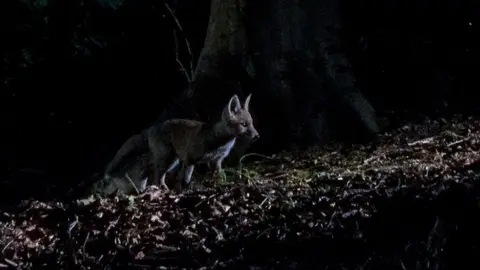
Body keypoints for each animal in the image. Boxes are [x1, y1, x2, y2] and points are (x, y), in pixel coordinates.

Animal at [96, 94, 260, 195]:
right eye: (244, 124)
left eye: (252, 123)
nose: (257, 136)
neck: (218, 141)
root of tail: (151, 129)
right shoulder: (189, 159)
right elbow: (185, 180)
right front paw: (182, 192)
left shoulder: (216, 161)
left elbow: (220, 176)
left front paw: (220, 186)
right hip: (168, 160)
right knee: (157, 175)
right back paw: (160, 189)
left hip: (171, 160)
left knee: (151, 173)